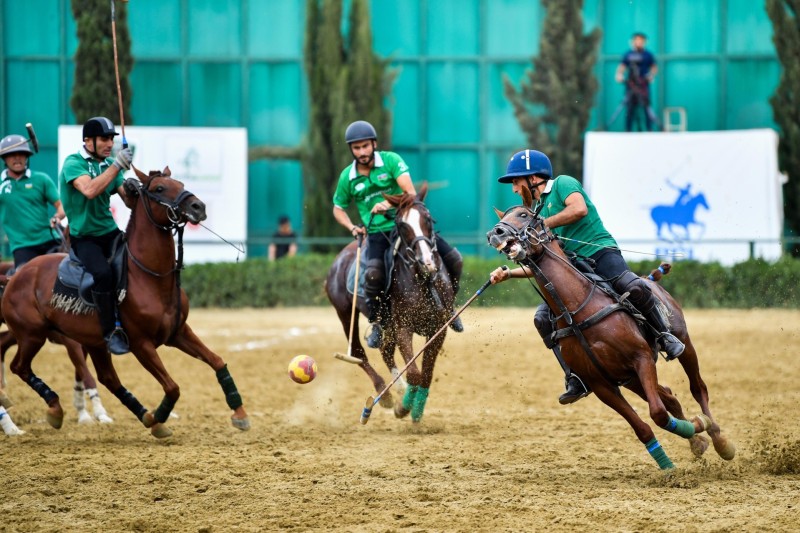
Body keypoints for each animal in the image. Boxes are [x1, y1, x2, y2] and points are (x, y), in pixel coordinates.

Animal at [0, 166, 250, 436]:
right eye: (159, 188)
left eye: (180, 183)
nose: (198, 207)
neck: (151, 277)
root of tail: (14, 276)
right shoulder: (141, 344)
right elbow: (172, 387)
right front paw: (160, 416)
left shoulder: (178, 332)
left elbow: (217, 361)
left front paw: (239, 413)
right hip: (32, 334)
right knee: (20, 367)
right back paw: (54, 408)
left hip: (92, 342)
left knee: (107, 378)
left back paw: (141, 414)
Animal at [322, 185, 454, 422]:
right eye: (401, 225)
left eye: (428, 219)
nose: (427, 262)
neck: (422, 279)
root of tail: (341, 256)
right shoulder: (403, 328)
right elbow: (414, 373)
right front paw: (404, 407)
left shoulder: (438, 328)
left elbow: (426, 374)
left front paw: (416, 409)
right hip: (345, 312)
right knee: (358, 351)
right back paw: (385, 394)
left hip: (387, 324)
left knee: (385, 350)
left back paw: (398, 388)